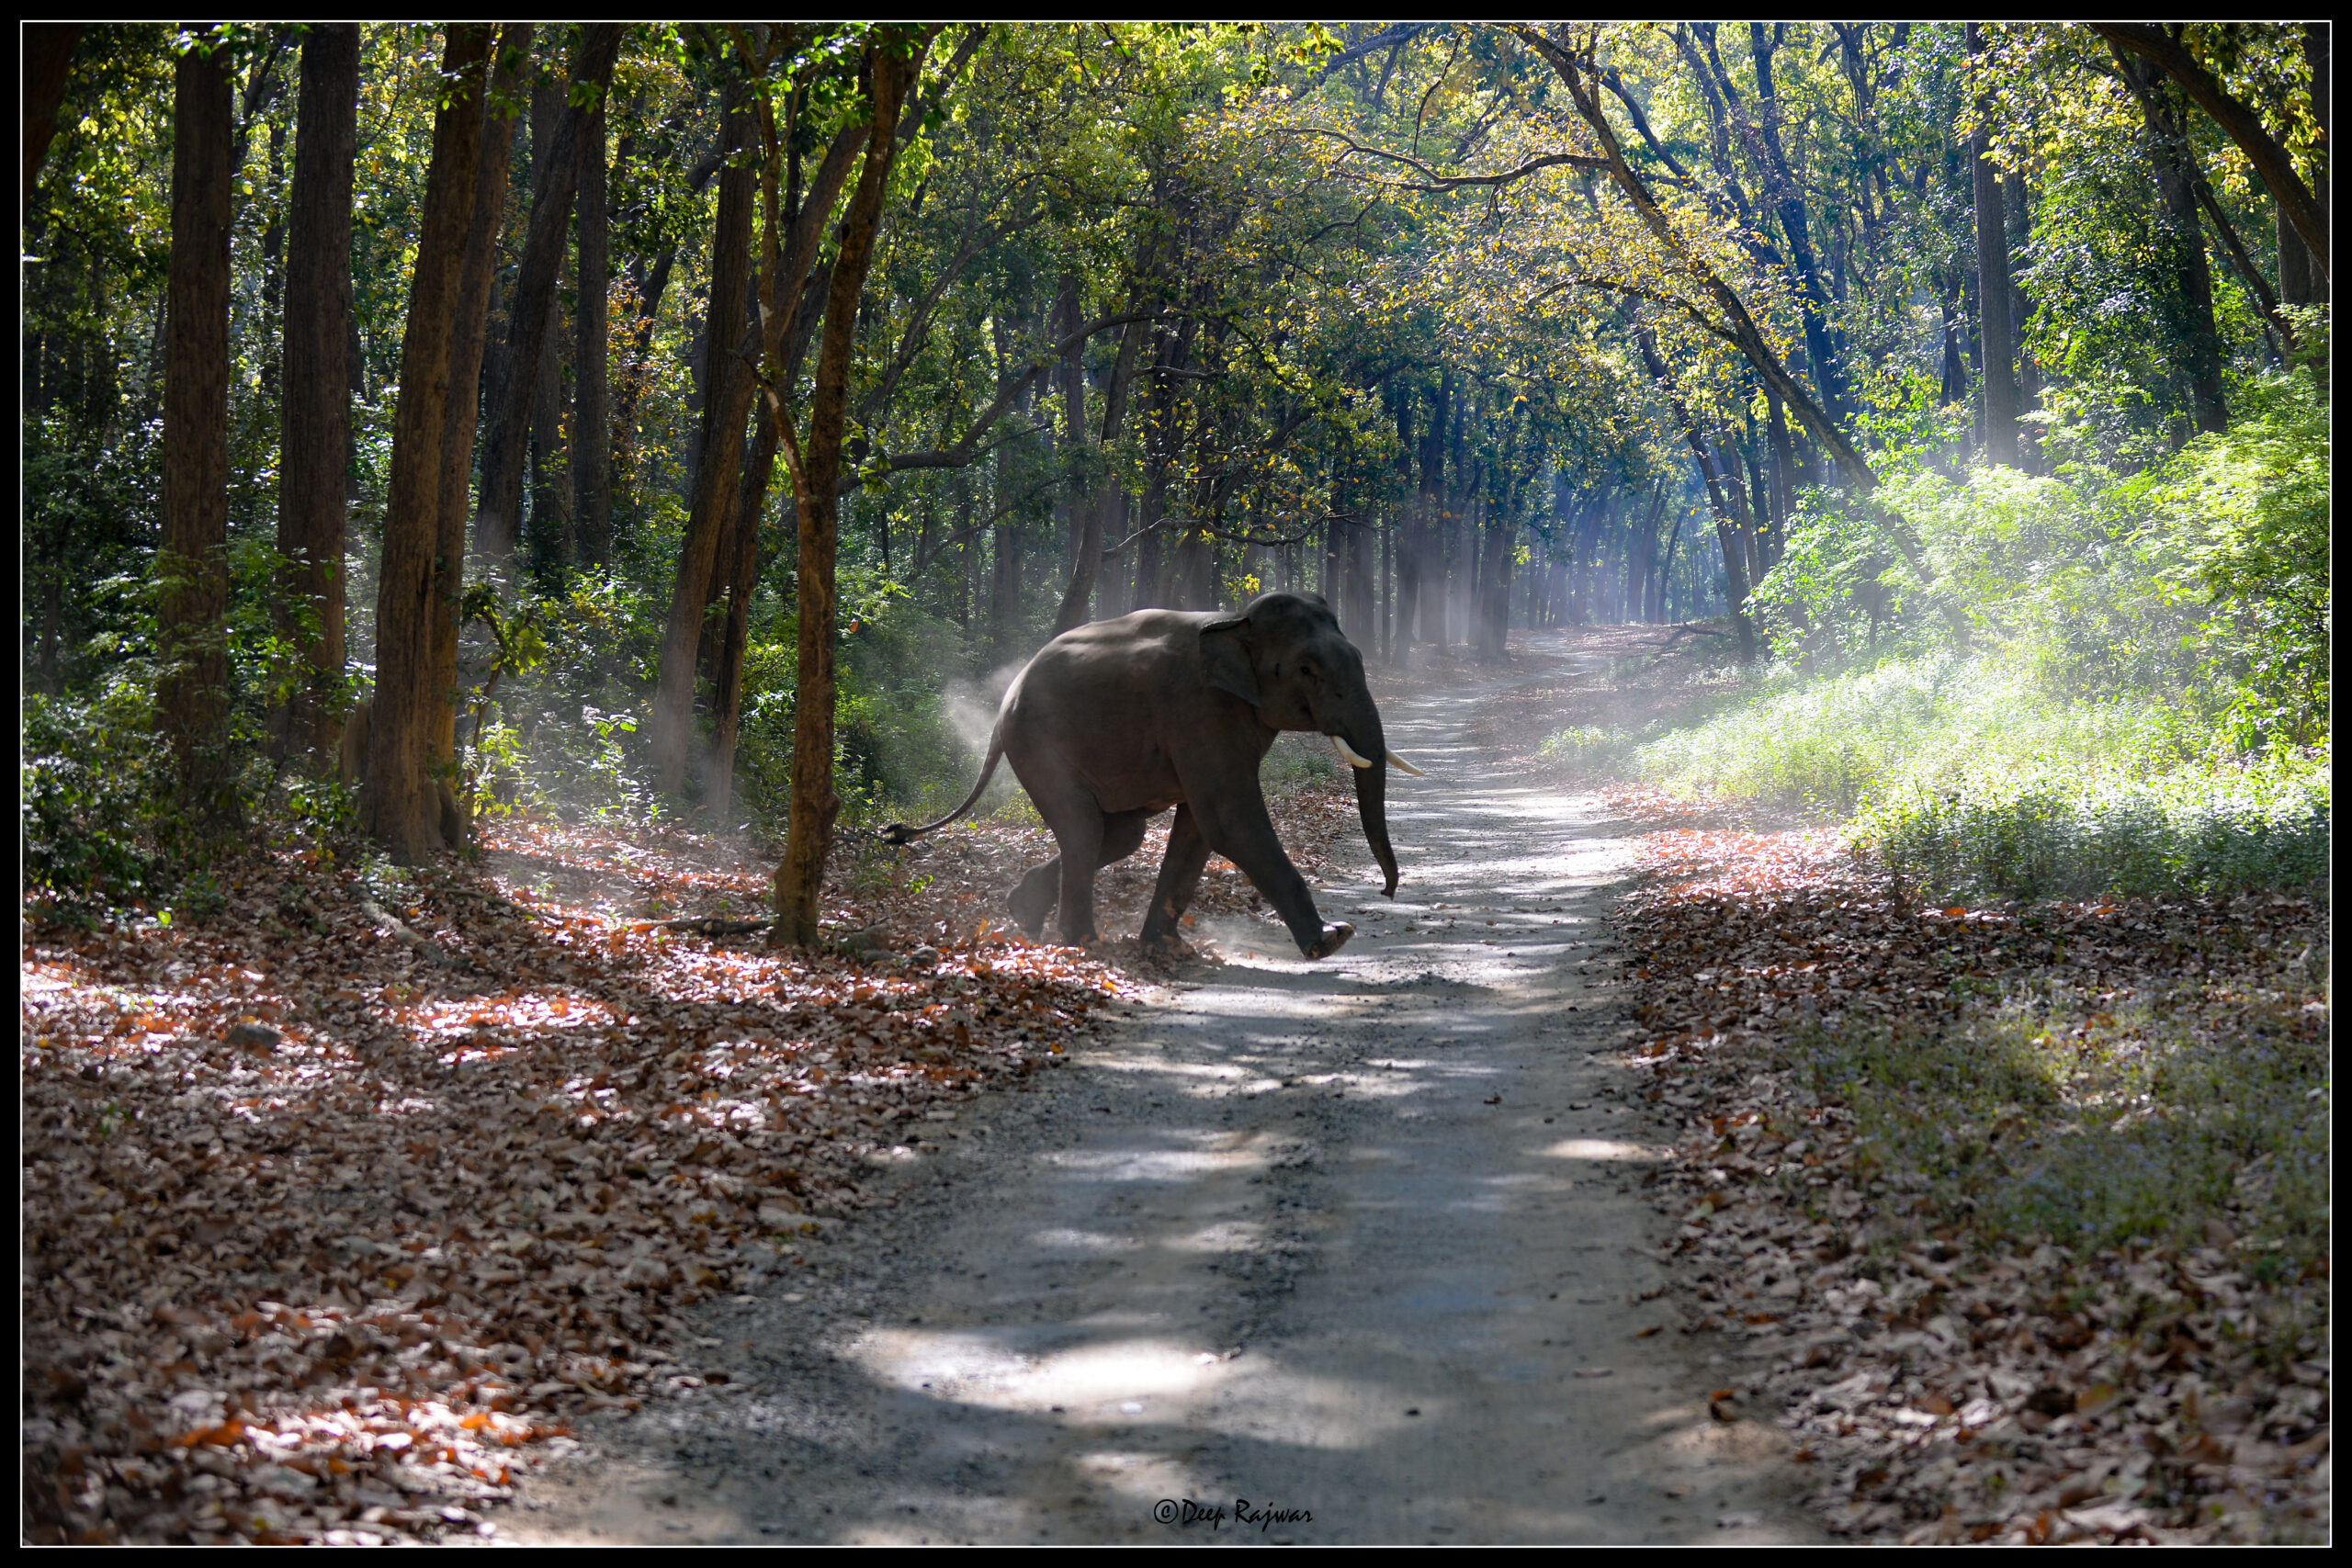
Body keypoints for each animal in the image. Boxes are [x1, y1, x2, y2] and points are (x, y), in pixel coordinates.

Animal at [888, 587, 1420, 959]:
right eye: (1306, 670)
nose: (1386, 891)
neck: (1233, 621)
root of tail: (1003, 705)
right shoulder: (1194, 707)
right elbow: (1229, 820)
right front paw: (1332, 940)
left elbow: (1200, 826)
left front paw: (1166, 948)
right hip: (1037, 744)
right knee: (1083, 828)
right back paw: (1082, 941)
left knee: (1120, 835)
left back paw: (1023, 910)